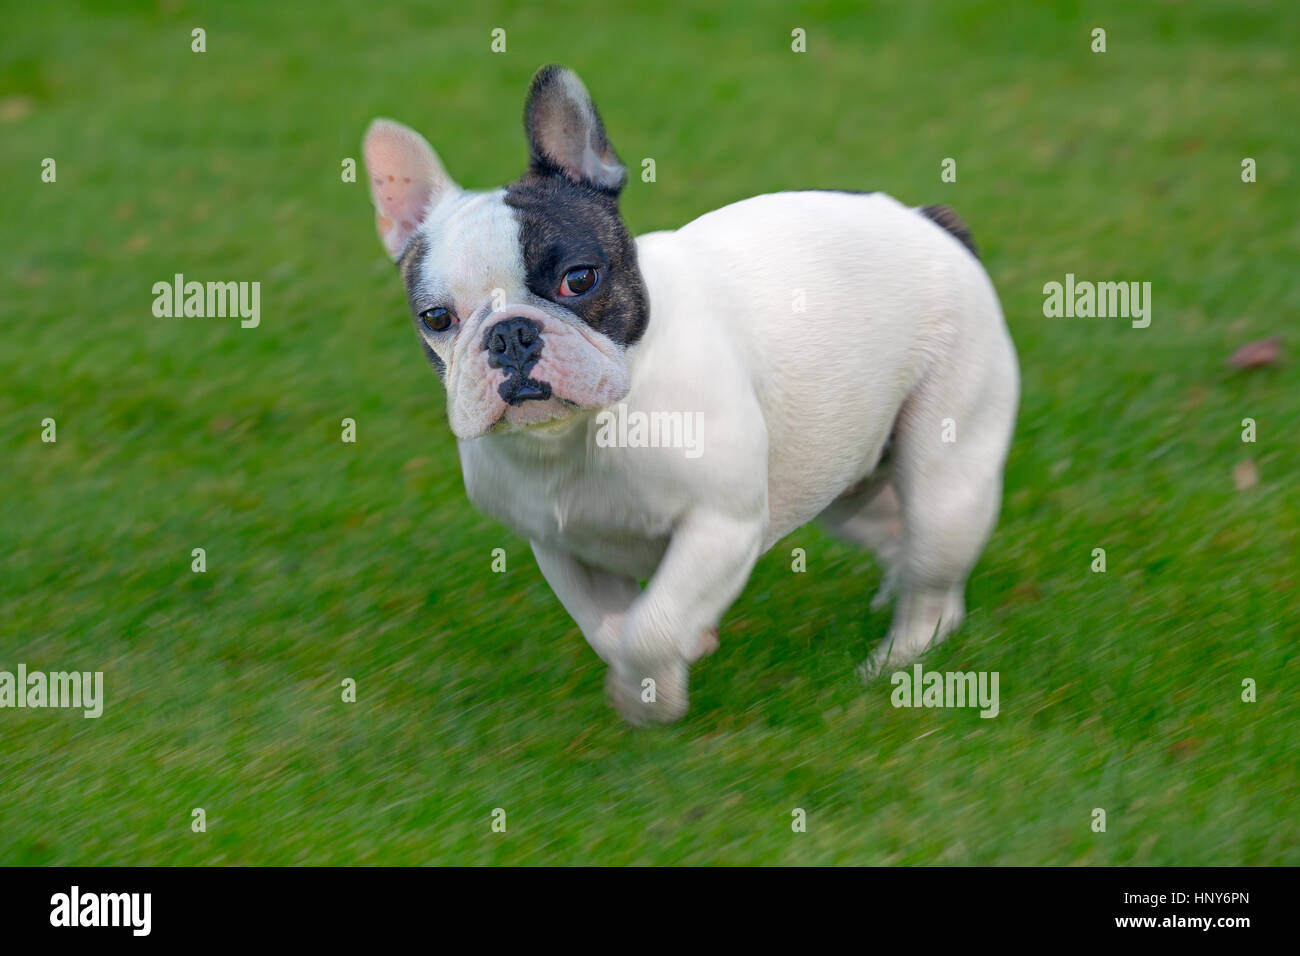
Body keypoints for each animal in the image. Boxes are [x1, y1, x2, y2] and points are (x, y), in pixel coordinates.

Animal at [361, 65, 1019, 723]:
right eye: (437, 318)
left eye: (579, 279)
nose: (509, 334)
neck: (581, 433)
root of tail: (930, 220)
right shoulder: (560, 548)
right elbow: (609, 628)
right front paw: (676, 656)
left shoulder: (720, 527)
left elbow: (651, 628)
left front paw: (650, 698)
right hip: (842, 478)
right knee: (891, 535)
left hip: (946, 476)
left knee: (932, 578)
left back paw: (895, 658)